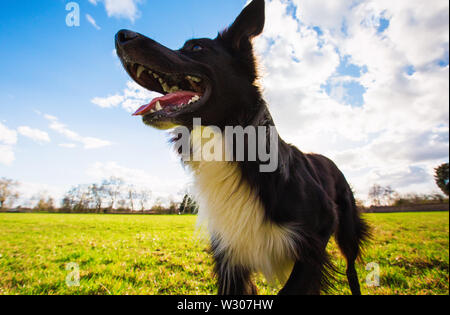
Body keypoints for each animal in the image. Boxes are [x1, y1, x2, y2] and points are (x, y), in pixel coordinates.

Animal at [115, 0, 370, 296]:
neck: (229, 144)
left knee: (351, 269)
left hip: (348, 229)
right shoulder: (229, 254)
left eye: (196, 48)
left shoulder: (318, 235)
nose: (120, 35)